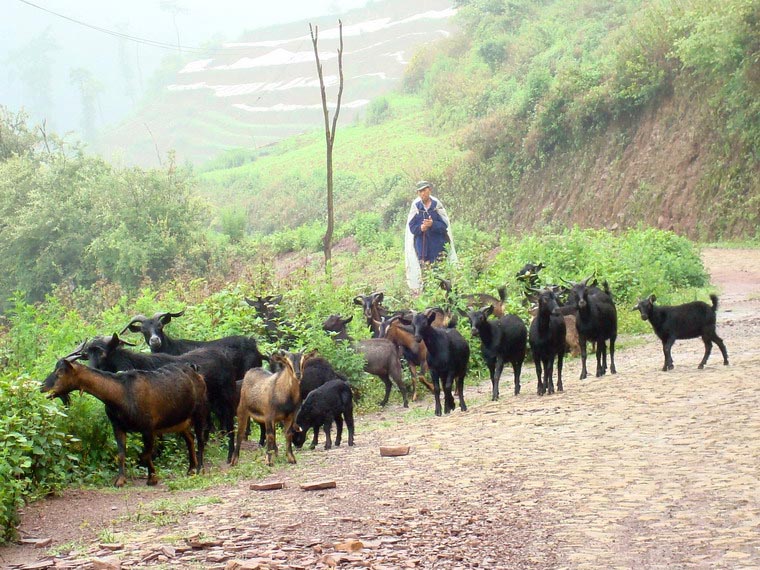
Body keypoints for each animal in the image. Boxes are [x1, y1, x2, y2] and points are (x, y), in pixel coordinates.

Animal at [40, 360, 206, 484]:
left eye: (60, 373)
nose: (42, 387)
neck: (122, 393)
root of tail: (195, 371)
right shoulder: (118, 426)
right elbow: (121, 453)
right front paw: (120, 480)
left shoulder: (148, 428)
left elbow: (145, 454)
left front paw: (152, 478)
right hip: (181, 420)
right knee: (190, 438)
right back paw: (191, 469)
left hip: (199, 412)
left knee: (200, 439)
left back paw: (200, 469)